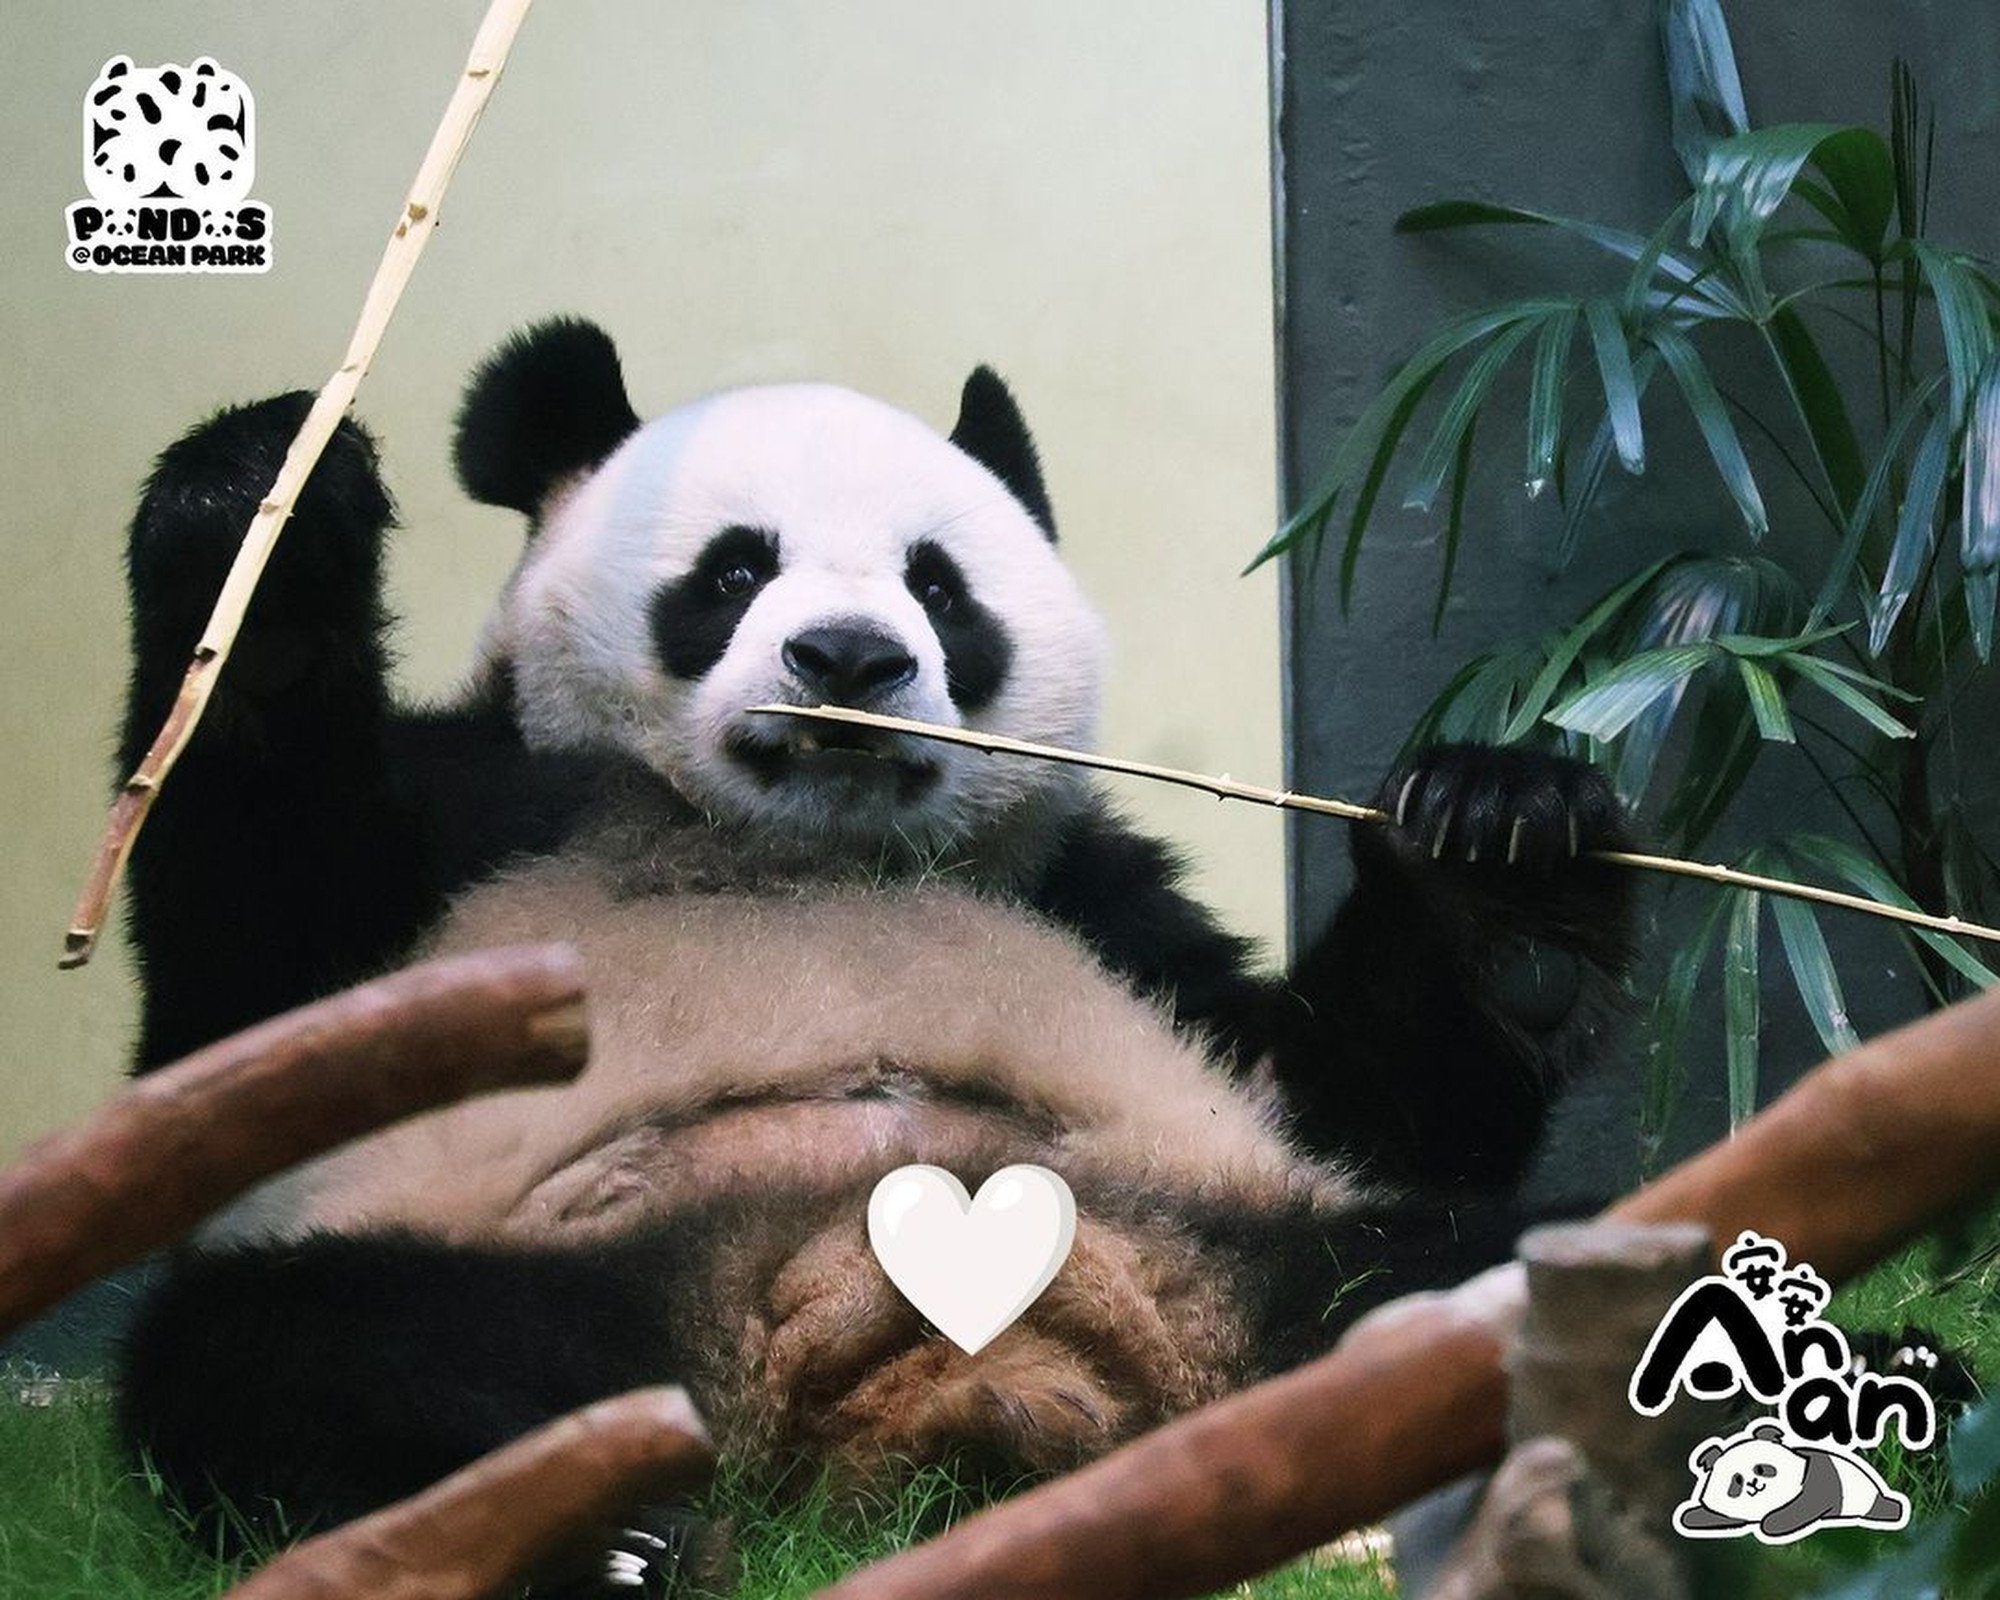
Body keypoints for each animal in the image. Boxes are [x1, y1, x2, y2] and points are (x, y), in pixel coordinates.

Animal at [117, 318, 1632, 1592]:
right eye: (735, 569)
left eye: (939, 588)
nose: (849, 658)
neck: (803, 848)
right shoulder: (477, 836)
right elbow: (249, 973)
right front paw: (269, 515)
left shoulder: (1103, 905)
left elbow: (1352, 1097)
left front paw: (1504, 855)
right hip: (502, 1273)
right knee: (313, 1365)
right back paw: (590, 1542)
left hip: (1287, 1240)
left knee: (1513, 1260)